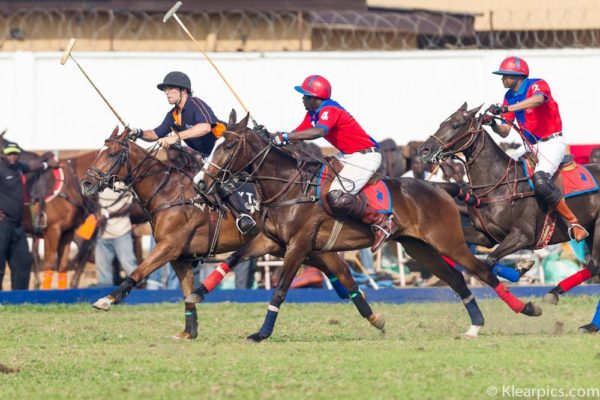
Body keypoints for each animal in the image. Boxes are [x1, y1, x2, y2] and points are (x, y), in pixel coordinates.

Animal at [81, 126, 384, 340]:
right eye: (99, 151)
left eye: (111, 154)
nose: (86, 183)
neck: (166, 192)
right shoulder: (180, 256)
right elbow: (187, 292)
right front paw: (189, 330)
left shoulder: (169, 247)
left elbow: (137, 272)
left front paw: (105, 300)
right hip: (300, 247)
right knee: (340, 271)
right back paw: (373, 316)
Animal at [195, 111, 540, 342]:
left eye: (227, 147)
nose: (200, 182)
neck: (288, 186)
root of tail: (442, 187)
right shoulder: (271, 241)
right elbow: (234, 258)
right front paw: (198, 291)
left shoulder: (298, 246)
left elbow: (279, 290)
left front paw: (262, 332)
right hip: (420, 247)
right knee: (457, 277)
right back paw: (476, 322)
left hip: (447, 240)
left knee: (482, 269)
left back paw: (525, 307)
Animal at [418, 102, 600, 304]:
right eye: (442, 123)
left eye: (457, 125)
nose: (424, 150)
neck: (498, 183)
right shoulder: (485, 235)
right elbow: (481, 258)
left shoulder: (522, 235)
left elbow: (489, 260)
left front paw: (521, 269)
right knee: (593, 266)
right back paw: (553, 292)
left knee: (594, 264)